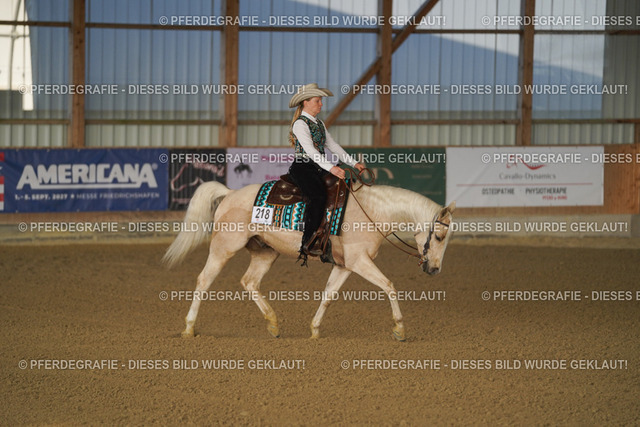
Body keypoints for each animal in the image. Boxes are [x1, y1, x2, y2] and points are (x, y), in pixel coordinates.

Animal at [163, 179, 456, 341]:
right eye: (440, 236)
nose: (435, 269)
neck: (371, 212)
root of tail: (230, 193)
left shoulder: (344, 265)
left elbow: (328, 295)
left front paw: (314, 330)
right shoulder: (359, 262)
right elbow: (389, 286)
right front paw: (400, 329)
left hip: (266, 252)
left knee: (249, 282)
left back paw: (273, 323)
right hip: (224, 246)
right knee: (204, 280)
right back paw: (189, 329)